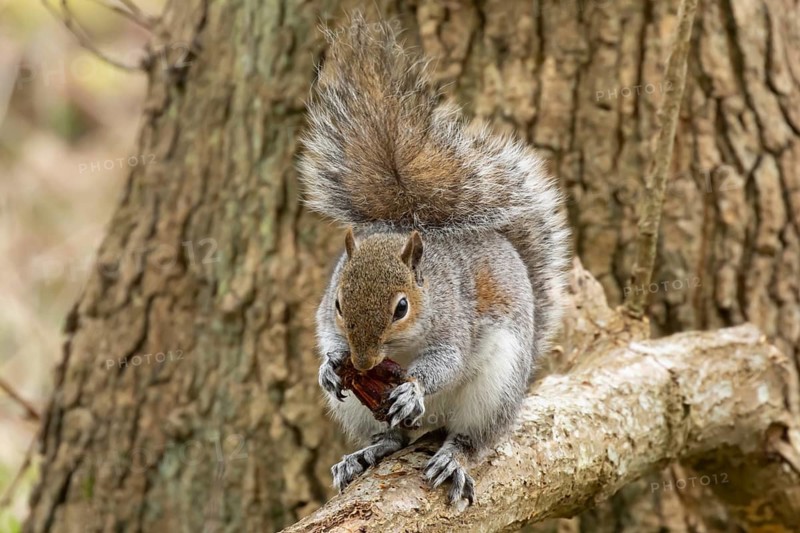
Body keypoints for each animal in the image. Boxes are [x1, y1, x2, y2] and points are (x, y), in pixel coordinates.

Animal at [299, 13, 571, 506]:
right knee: (392, 437)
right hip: (362, 413)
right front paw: (329, 365)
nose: (361, 366)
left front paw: (413, 389)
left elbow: (447, 361)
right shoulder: (328, 316)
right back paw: (365, 454)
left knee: (471, 437)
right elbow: (328, 338)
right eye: (339, 304)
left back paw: (451, 458)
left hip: (496, 388)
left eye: (402, 307)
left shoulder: (453, 322)